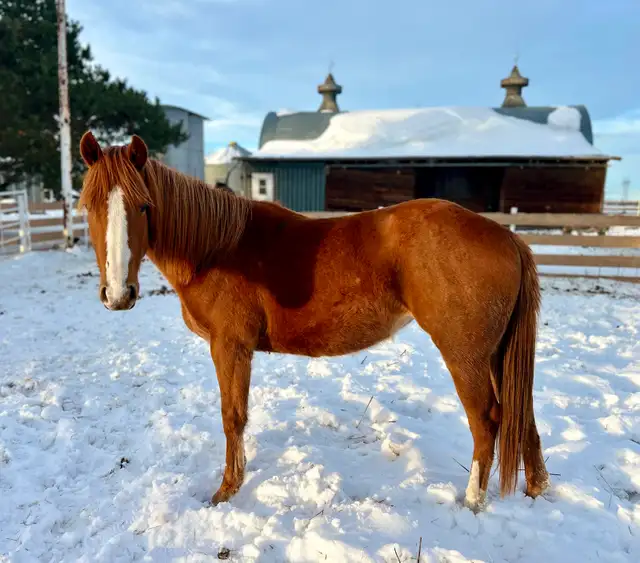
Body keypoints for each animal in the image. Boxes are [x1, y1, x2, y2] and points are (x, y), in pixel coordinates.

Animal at [77, 131, 550, 512]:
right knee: (521, 416)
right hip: (496, 354)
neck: (218, 248)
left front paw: (227, 490)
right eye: (89, 207)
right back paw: (537, 490)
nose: (118, 294)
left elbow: (233, 417)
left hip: (465, 354)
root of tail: (507, 236)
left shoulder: (230, 347)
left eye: (144, 206)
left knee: (487, 421)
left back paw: (473, 501)